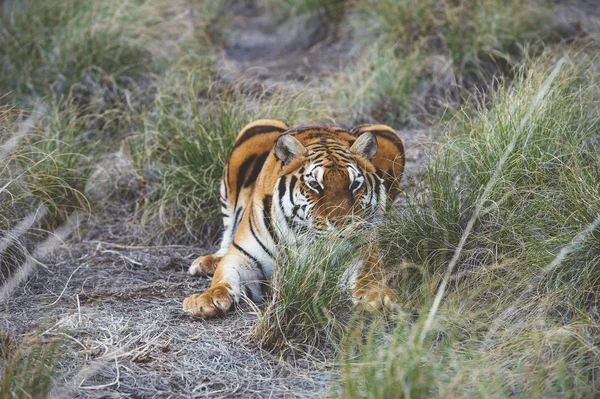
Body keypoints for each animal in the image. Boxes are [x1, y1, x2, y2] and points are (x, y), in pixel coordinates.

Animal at [180, 120, 406, 318]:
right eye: (315, 185)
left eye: (355, 184)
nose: (343, 225)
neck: (304, 237)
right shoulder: (243, 257)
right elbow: (223, 276)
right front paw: (206, 299)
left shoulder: (363, 250)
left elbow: (368, 275)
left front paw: (378, 298)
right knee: (227, 236)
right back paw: (206, 263)